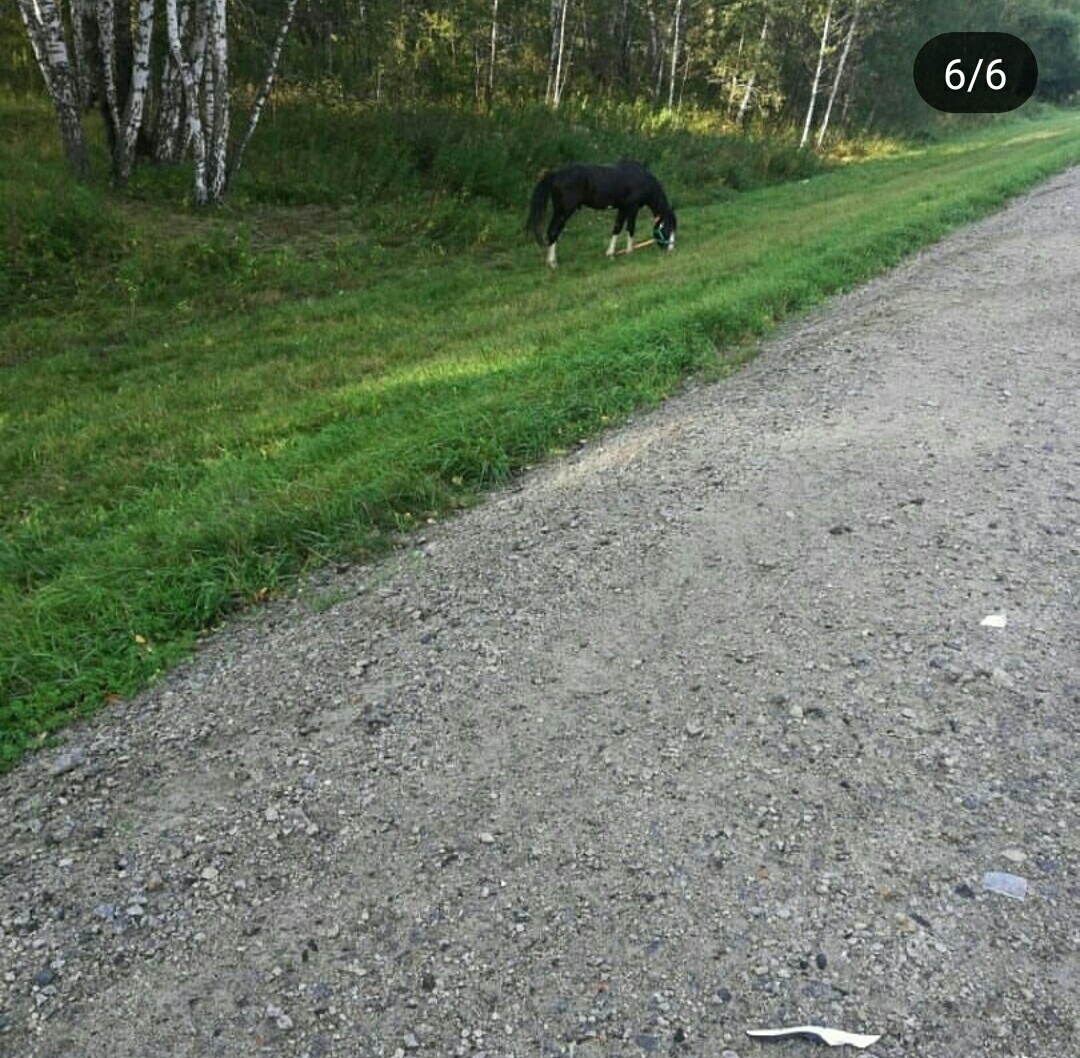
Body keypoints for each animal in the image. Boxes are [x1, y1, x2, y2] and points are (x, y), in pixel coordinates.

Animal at [524, 160, 673, 270]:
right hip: (563, 212)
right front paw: (630, 252)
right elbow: (630, 228)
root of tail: (555, 175)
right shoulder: (632, 208)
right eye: (668, 228)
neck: (640, 178)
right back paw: (553, 263)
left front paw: (611, 254)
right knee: (553, 232)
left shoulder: (623, 208)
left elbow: (617, 228)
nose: (671, 249)